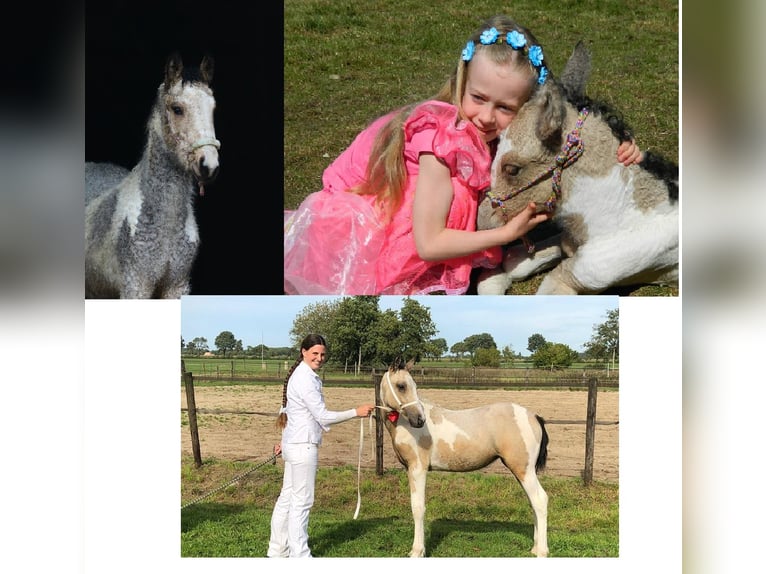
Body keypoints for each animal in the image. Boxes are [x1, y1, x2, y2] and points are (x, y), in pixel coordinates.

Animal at [378, 359, 549, 557]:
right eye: (401, 386)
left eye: (412, 385)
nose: (419, 420)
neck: (406, 426)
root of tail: (534, 417)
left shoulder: (417, 468)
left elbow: (418, 507)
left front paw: (417, 551)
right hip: (523, 471)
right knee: (533, 502)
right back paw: (535, 548)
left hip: (524, 470)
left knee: (540, 500)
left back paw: (542, 551)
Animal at [475, 41, 678, 295]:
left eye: (512, 169)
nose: (481, 219)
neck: (622, 220)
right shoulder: (567, 241)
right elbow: (514, 263)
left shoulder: (586, 275)